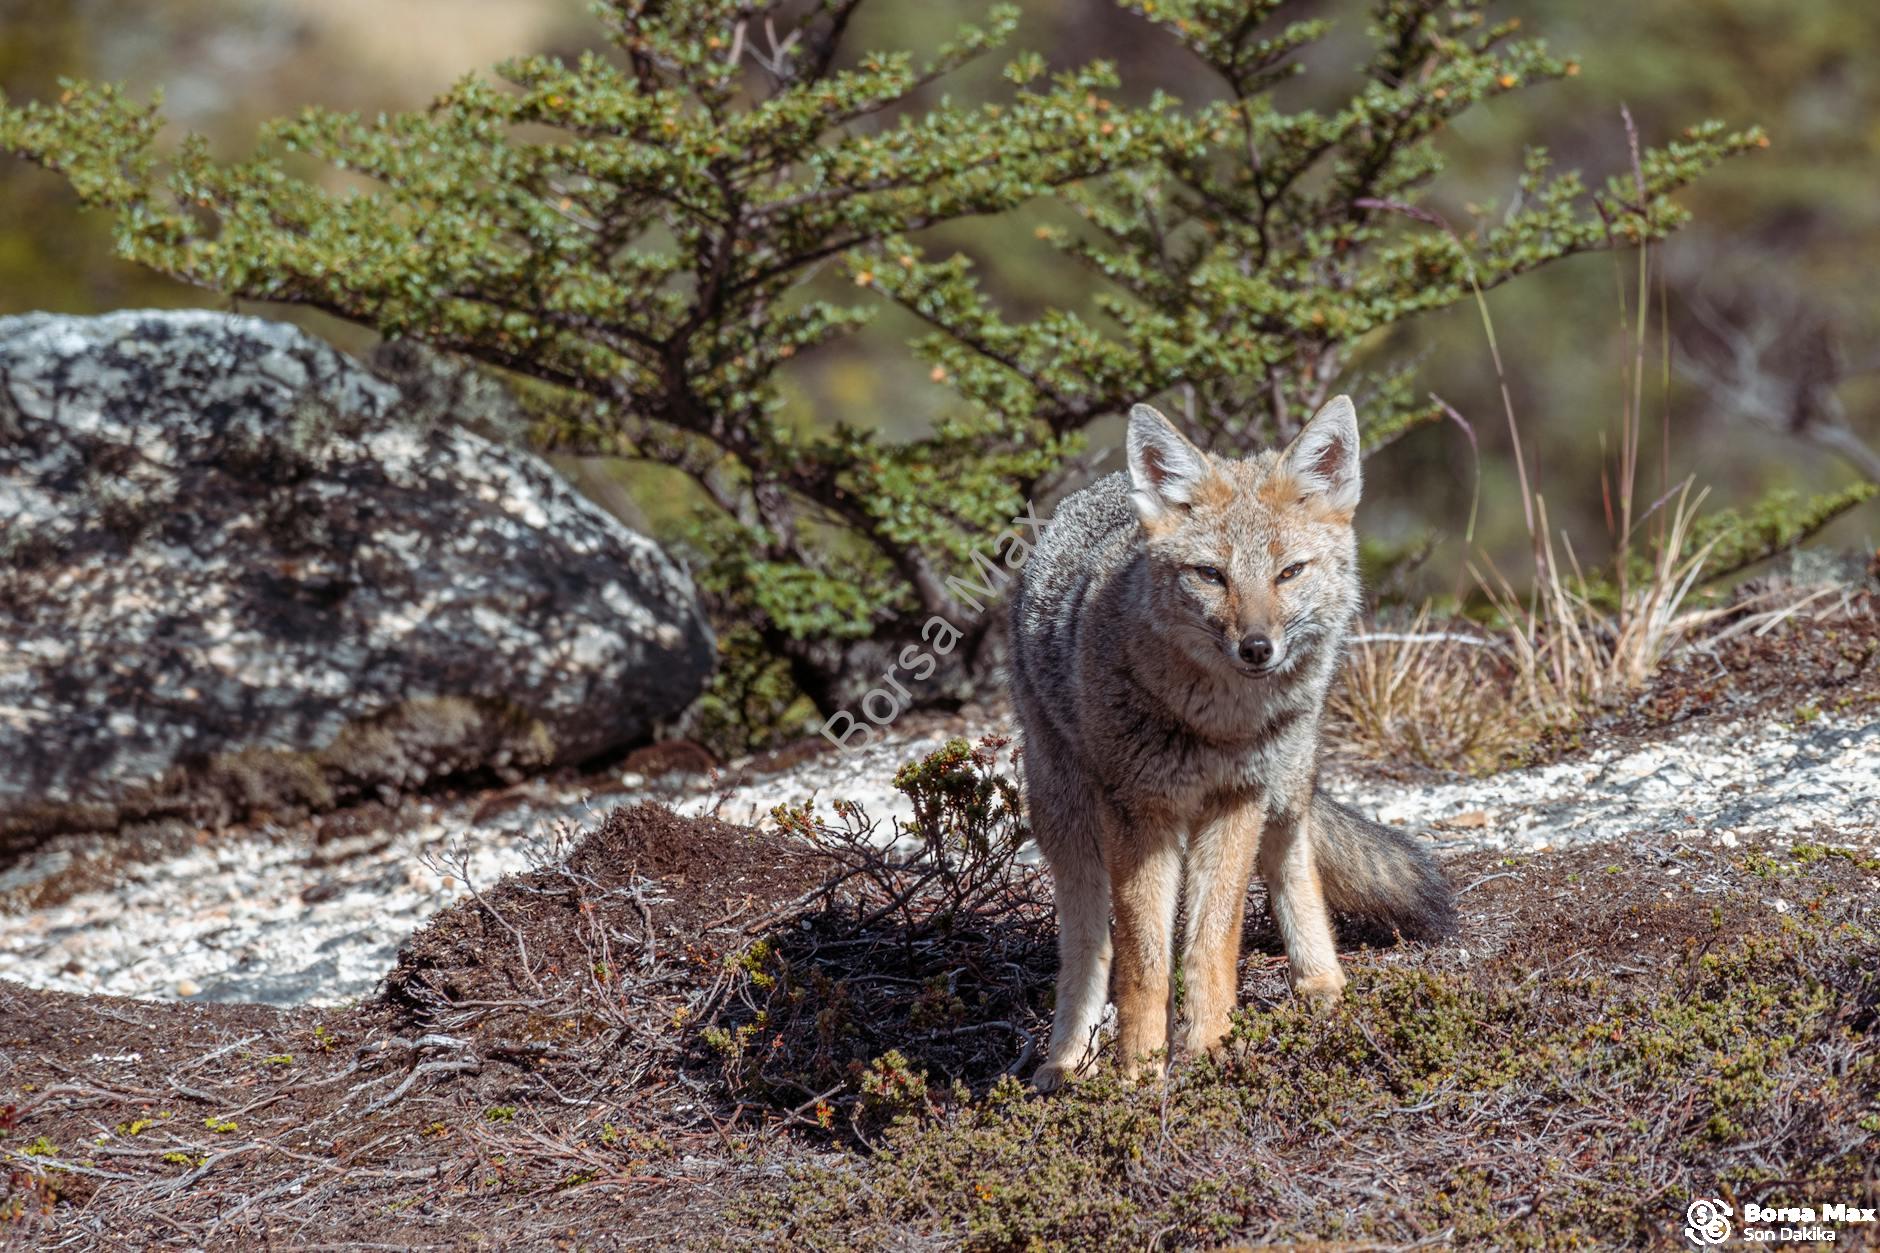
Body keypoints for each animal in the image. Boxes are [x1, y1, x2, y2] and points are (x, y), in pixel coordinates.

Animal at [1015, 396, 1451, 1083]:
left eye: (1289, 572)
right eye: (1211, 576)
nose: (1256, 647)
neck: (1217, 726)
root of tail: (1100, 488)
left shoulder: (1239, 798)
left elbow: (1212, 941)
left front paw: (1210, 1052)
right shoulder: (1139, 812)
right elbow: (1142, 958)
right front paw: (1139, 1073)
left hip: (1287, 785)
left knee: (1293, 859)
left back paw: (1321, 982)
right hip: (1067, 817)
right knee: (1088, 943)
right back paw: (1067, 1060)